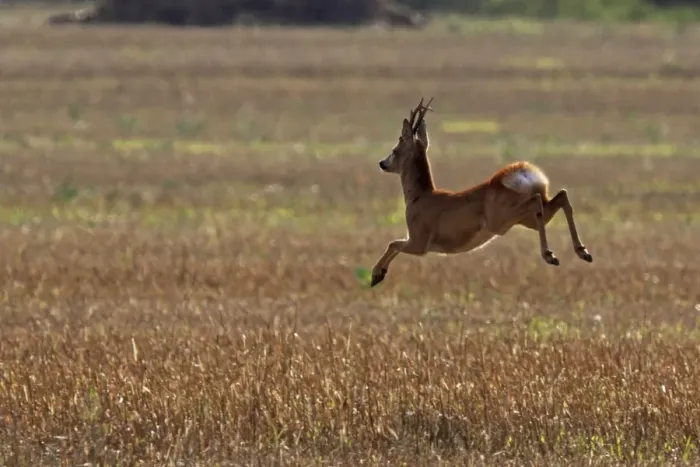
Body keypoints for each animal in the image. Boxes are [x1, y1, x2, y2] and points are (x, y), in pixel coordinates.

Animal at [370, 97, 593, 288]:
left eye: (395, 149)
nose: (382, 163)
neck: (419, 197)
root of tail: (523, 174)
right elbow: (393, 245)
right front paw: (378, 275)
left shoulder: (419, 241)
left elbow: (392, 243)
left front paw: (376, 275)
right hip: (525, 218)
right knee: (560, 196)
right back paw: (582, 252)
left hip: (501, 220)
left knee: (537, 201)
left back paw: (550, 255)